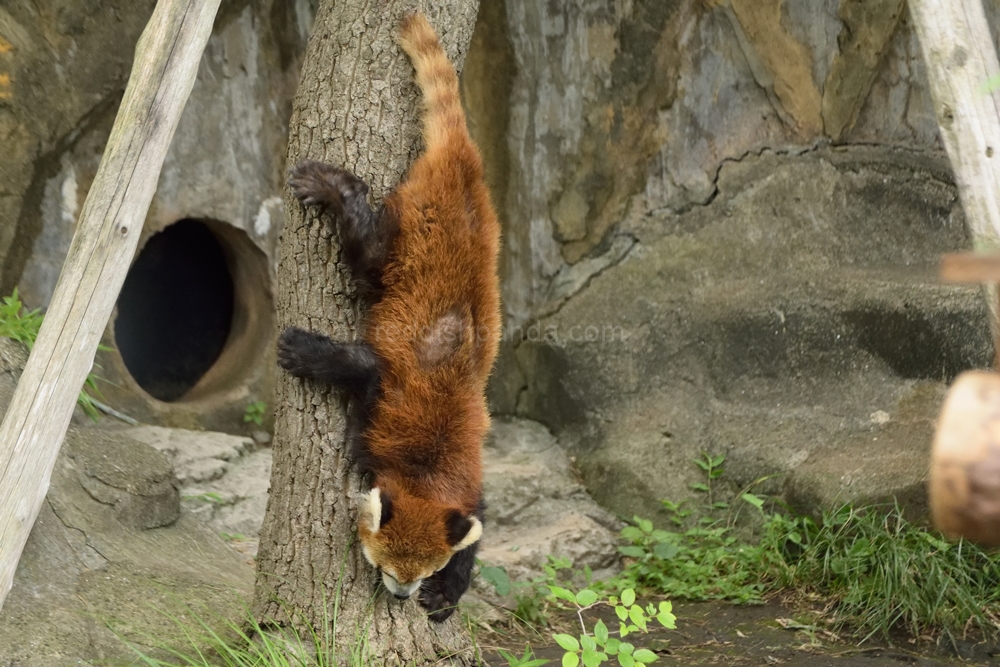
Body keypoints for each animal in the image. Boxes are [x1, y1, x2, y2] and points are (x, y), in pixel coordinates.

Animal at [278, 13, 500, 624]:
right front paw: (303, 351)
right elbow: (364, 368)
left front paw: (450, 591)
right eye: (384, 568)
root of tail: (463, 167)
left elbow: (476, 527)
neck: (428, 471)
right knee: (367, 244)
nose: (400, 596)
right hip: (401, 236)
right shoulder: (386, 407)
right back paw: (333, 186)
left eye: (419, 572)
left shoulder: (468, 486)